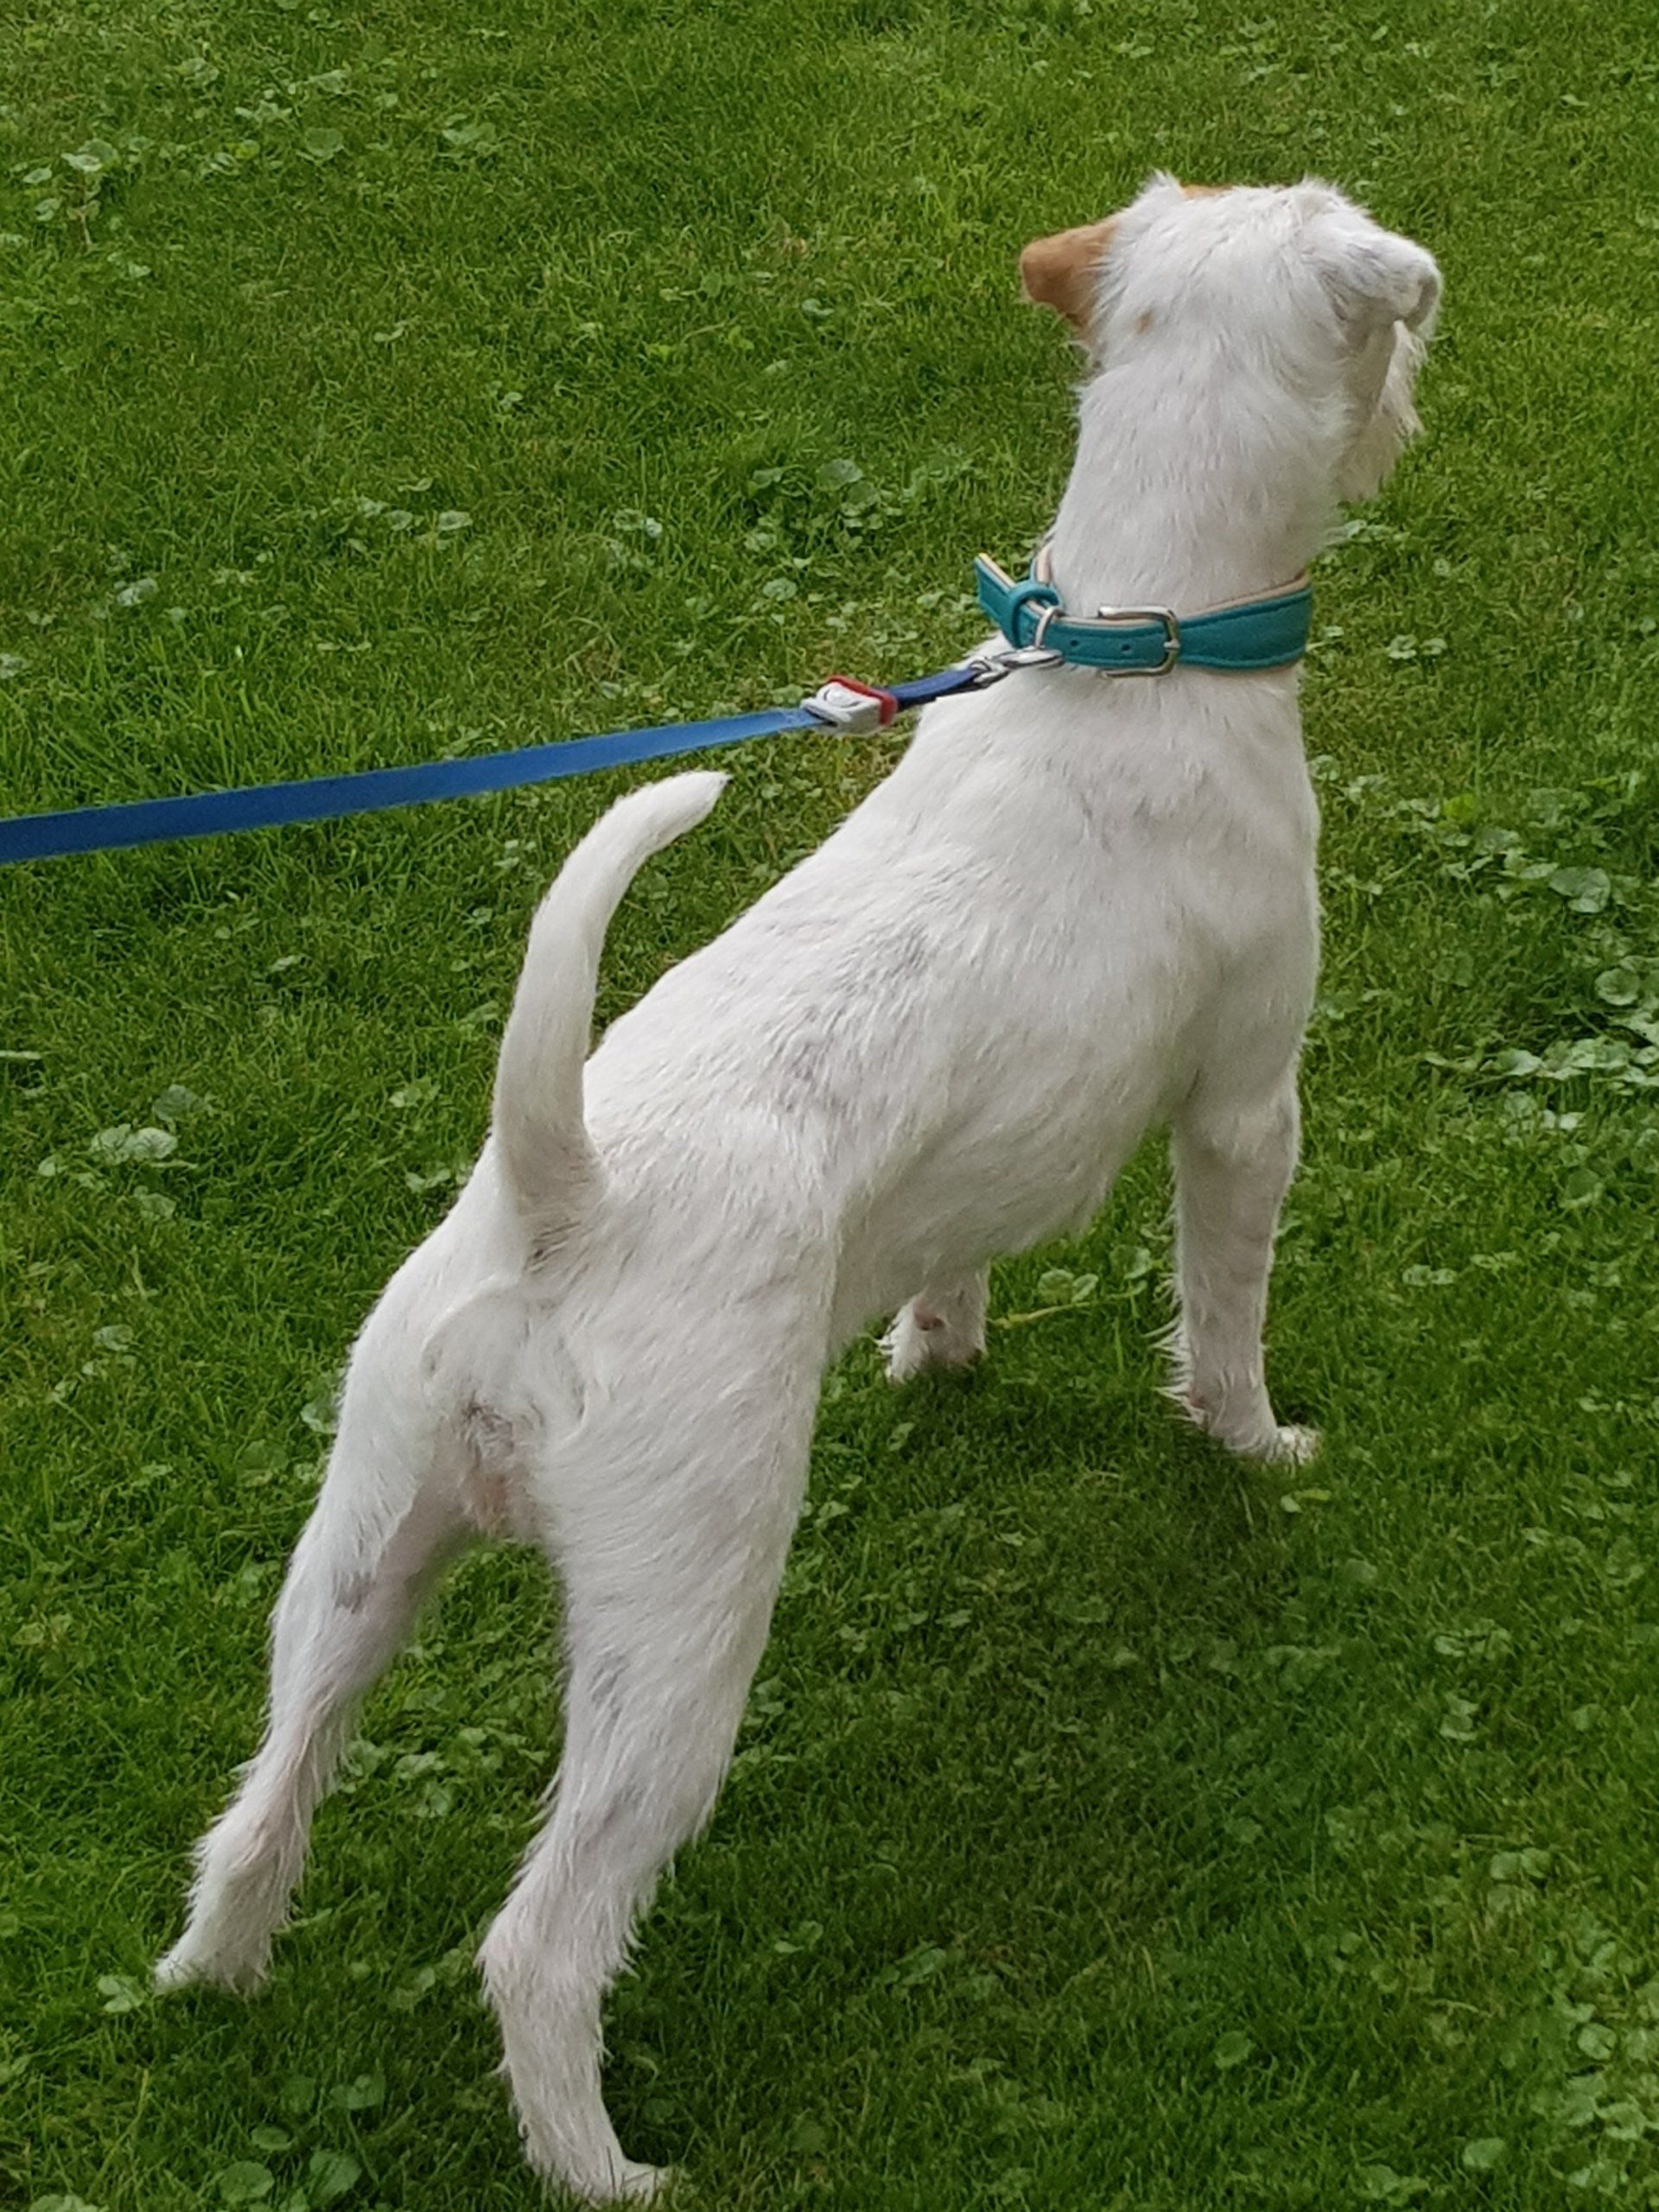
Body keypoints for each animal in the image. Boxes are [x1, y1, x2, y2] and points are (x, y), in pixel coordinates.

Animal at [157, 176, 1439, 2200]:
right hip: (682, 1624)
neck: (1138, 645)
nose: (1419, 408)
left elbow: (957, 1259)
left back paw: (218, 1975)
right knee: (542, 1936)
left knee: (260, 1798)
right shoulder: (1248, 1102)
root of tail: (559, 1204)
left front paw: (941, 1350)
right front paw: (1254, 1444)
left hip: (358, 1549)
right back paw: (607, 2164)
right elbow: (1224, 1310)